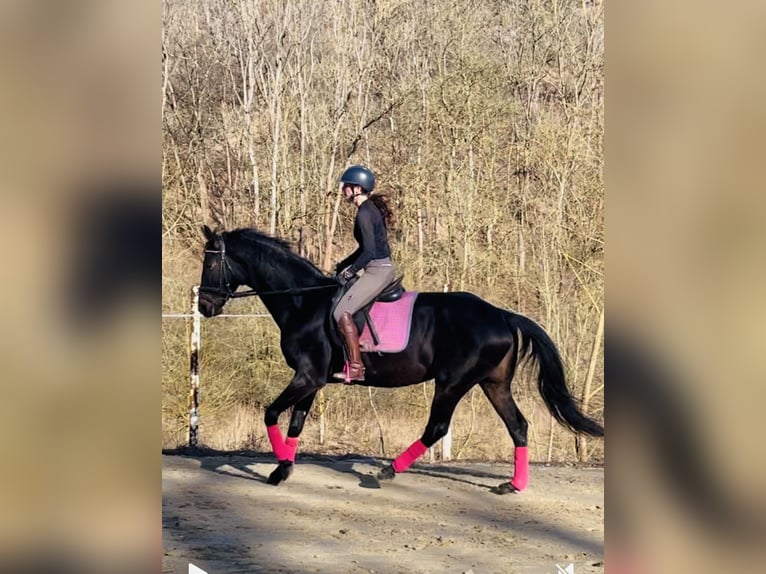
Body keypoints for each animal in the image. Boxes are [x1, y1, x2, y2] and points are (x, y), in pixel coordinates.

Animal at [198, 226, 608, 496]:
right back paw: (513, 485)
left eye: (211, 264)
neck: (303, 301)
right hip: (493, 384)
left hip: (452, 383)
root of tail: (503, 315)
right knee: (518, 426)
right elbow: (296, 423)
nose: (204, 306)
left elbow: (271, 414)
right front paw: (284, 467)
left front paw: (279, 468)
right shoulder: (311, 380)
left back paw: (386, 472)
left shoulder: (307, 377)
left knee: (437, 428)